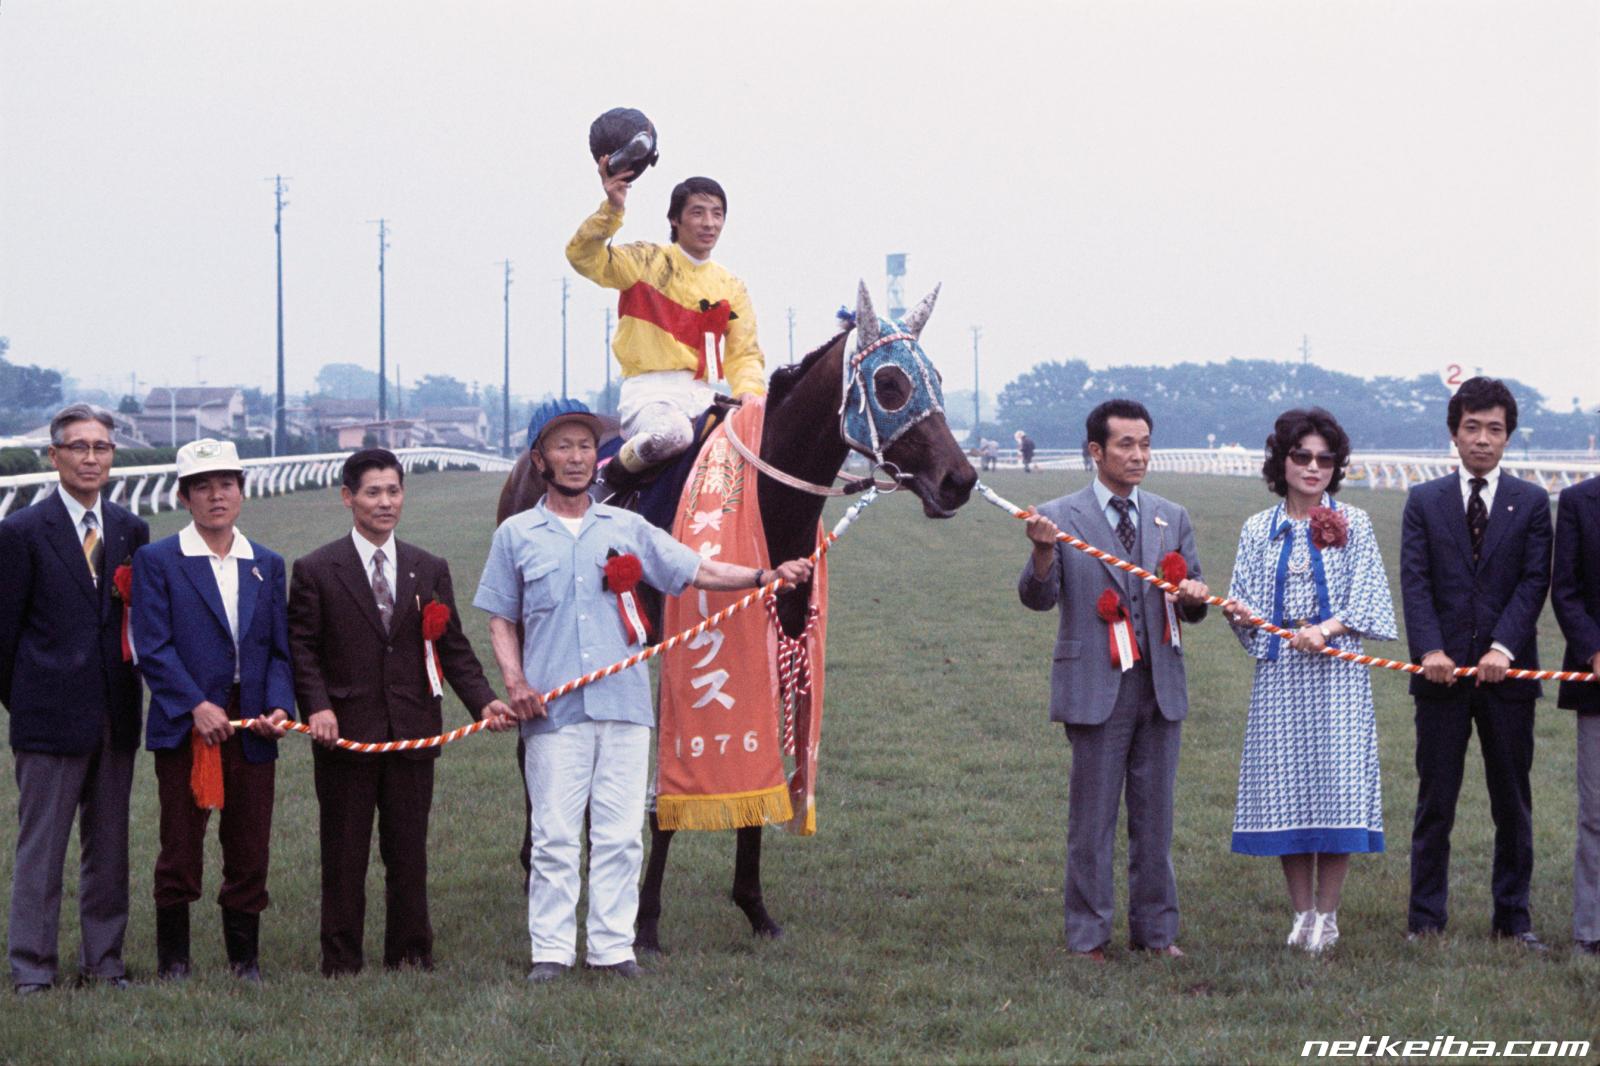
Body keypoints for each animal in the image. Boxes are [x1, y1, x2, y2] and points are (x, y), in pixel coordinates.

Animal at [496, 280, 972, 947]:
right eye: (889, 384)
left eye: (937, 376)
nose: (960, 479)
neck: (768, 501)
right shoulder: (688, 643)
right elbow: (666, 787)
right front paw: (646, 919)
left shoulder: (777, 638)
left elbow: (760, 763)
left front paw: (753, 904)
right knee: (527, 740)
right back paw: (533, 859)